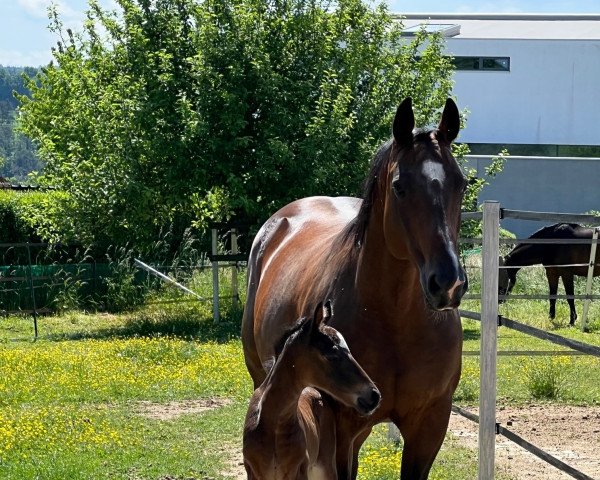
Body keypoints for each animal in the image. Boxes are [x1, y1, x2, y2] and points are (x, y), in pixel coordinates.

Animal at [240, 302, 378, 478]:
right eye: (331, 355)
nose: (374, 396)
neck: (272, 425)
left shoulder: (300, 471)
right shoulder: (252, 472)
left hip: (325, 467)